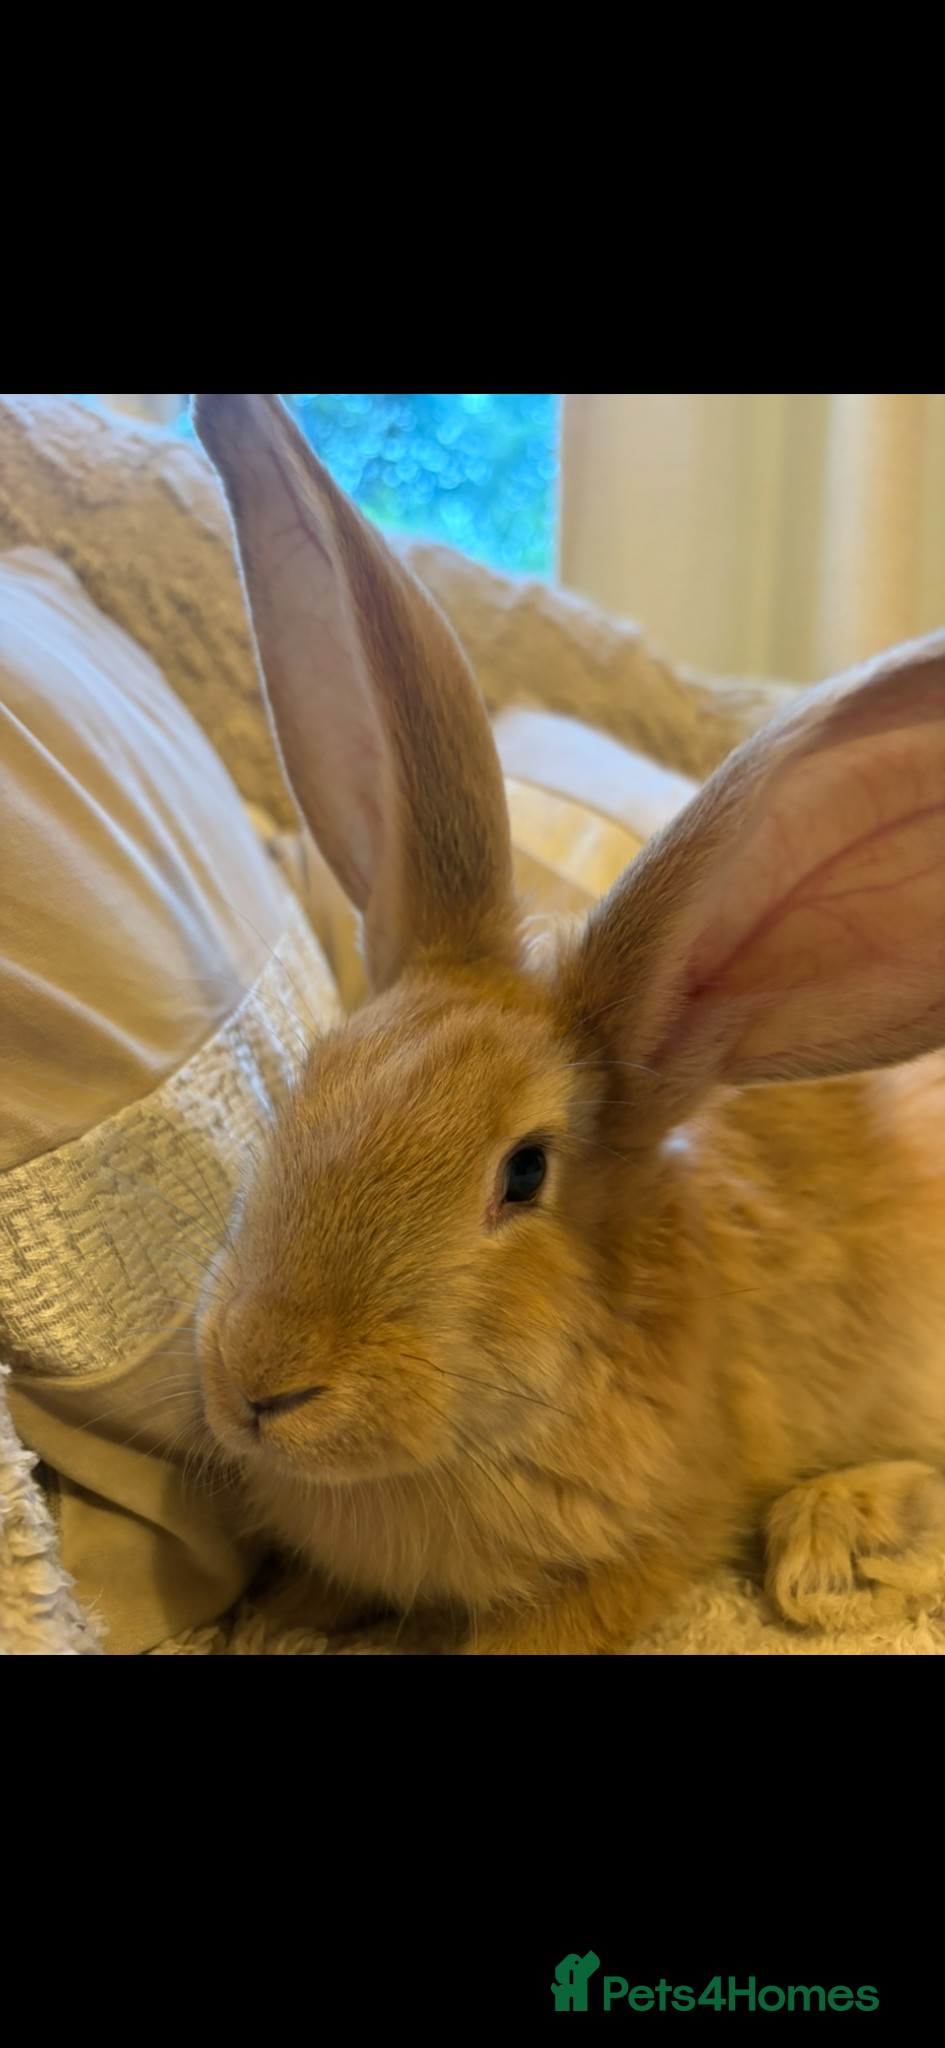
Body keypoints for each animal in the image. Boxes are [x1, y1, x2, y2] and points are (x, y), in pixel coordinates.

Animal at [192, 392, 945, 1654]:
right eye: (314, 1077)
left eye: (525, 1172)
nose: (261, 1382)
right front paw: (279, 1624)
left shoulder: (655, 1533)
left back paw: (828, 1544)